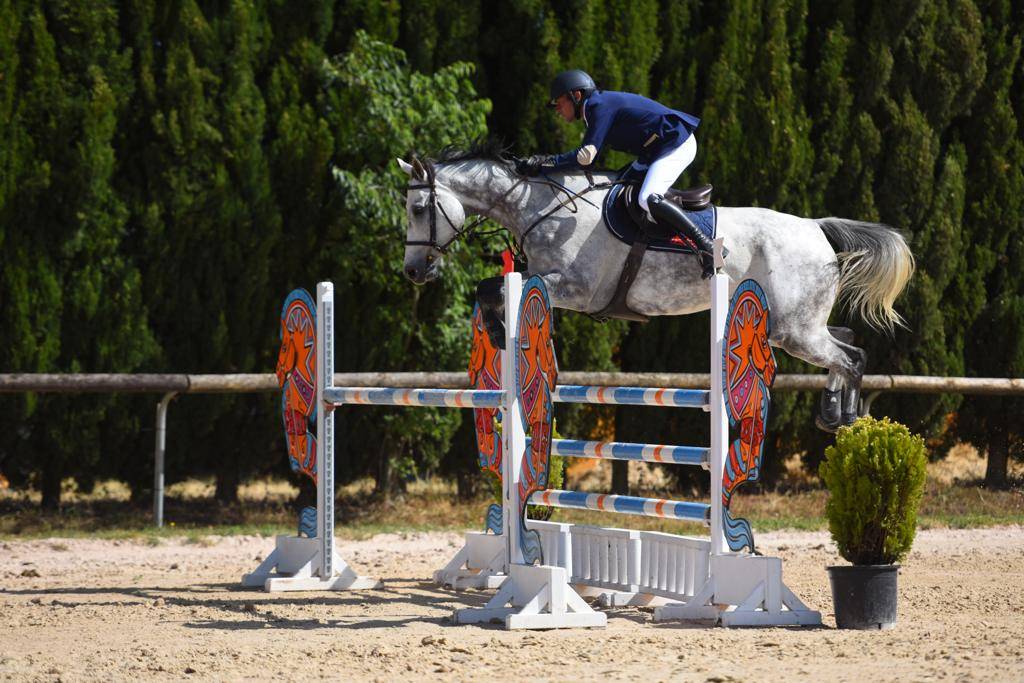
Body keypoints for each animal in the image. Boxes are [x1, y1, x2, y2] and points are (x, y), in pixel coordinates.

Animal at [396, 147, 914, 431]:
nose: (415, 272)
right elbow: (490, 290)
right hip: (798, 324)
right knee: (845, 339)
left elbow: (493, 289)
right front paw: (498, 332)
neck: (542, 206)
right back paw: (832, 409)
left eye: (419, 208)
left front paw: (501, 332)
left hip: (792, 330)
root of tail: (816, 228)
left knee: (852, 356)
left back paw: (844, 418)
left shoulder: (574, 288)